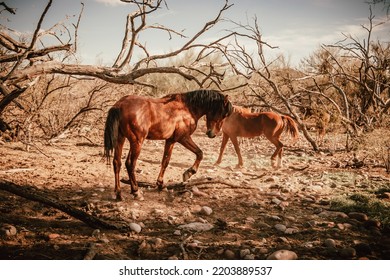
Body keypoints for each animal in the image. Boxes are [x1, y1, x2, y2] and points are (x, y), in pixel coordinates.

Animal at [103, 88, 232, 200]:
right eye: (223, 114)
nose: (212, 134)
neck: (187, 108)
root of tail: (120, 105)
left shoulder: (170, 140)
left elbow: (165, 161)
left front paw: (160, 184)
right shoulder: (183, 138)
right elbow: (200, 153)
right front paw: (189, 172)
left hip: (121, 139)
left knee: (117, 163)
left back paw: (119, 193)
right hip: (137, 142)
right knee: (130, 164)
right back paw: (136, 191)